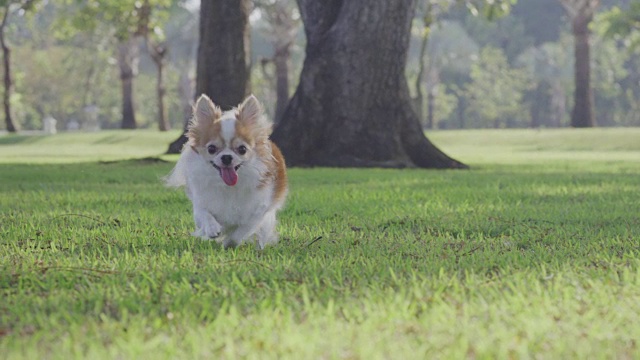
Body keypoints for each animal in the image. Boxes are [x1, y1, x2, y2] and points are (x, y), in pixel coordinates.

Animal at [165, 94, 288, 249]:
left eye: (242, 149)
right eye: (211, 149)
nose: (227, 157)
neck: (227, 185)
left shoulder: (259, 211)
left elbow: (243, 229)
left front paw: (229, 242)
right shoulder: (200, 204)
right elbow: (205, 214)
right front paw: (212, 228)